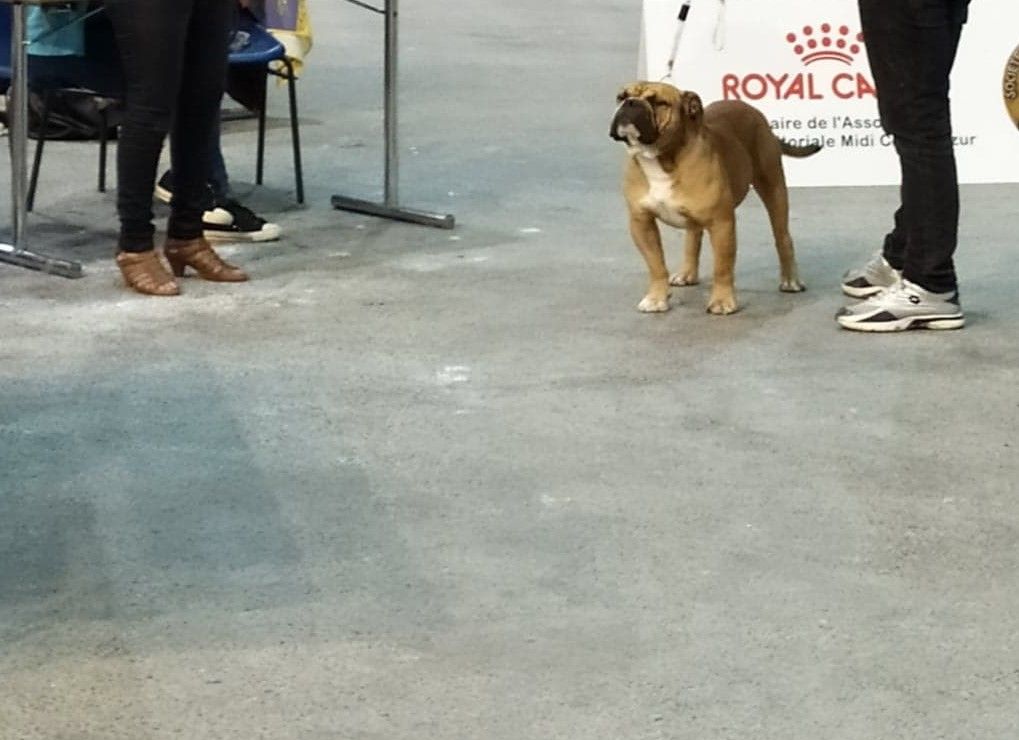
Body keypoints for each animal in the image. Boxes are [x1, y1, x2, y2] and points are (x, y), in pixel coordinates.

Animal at [610, 81, 821, 315]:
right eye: (621, 97)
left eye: (658, 102)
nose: (630, 103)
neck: (661, 159)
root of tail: (754, 112)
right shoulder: (641, 222)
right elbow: (655, 264)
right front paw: (656, 298)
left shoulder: (721, 223)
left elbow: (722, 266)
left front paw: (722, 301)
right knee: (693, 237)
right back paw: (687, 274)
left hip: (773, 188)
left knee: (782, 237)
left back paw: (790, 281)